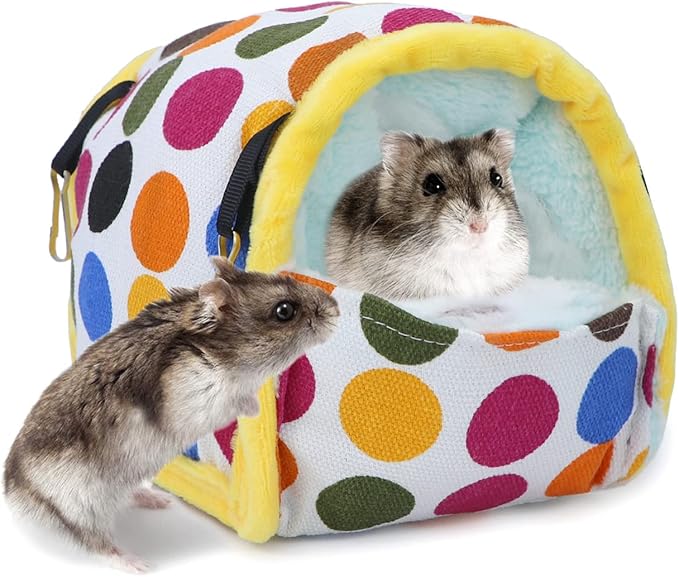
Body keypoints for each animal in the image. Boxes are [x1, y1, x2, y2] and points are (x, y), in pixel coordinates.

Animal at [4, 257, 339, 572]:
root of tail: (12, 492)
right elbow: (239, 401)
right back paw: (136, 562)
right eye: (284, 311)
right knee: (94, 543)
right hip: (79, 504)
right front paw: (260, 405)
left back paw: (156, 499)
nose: (336, 309)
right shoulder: (200, 393)